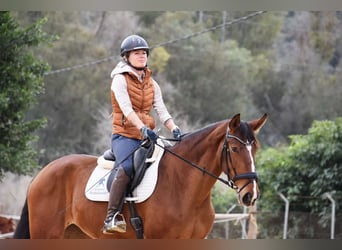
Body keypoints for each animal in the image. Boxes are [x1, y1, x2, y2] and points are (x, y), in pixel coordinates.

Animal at [14, 113, 268, 238]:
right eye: (234, 149)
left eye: (255, 148)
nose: (250, 196)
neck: (184, 186)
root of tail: (42, 173)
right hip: (47, 234)